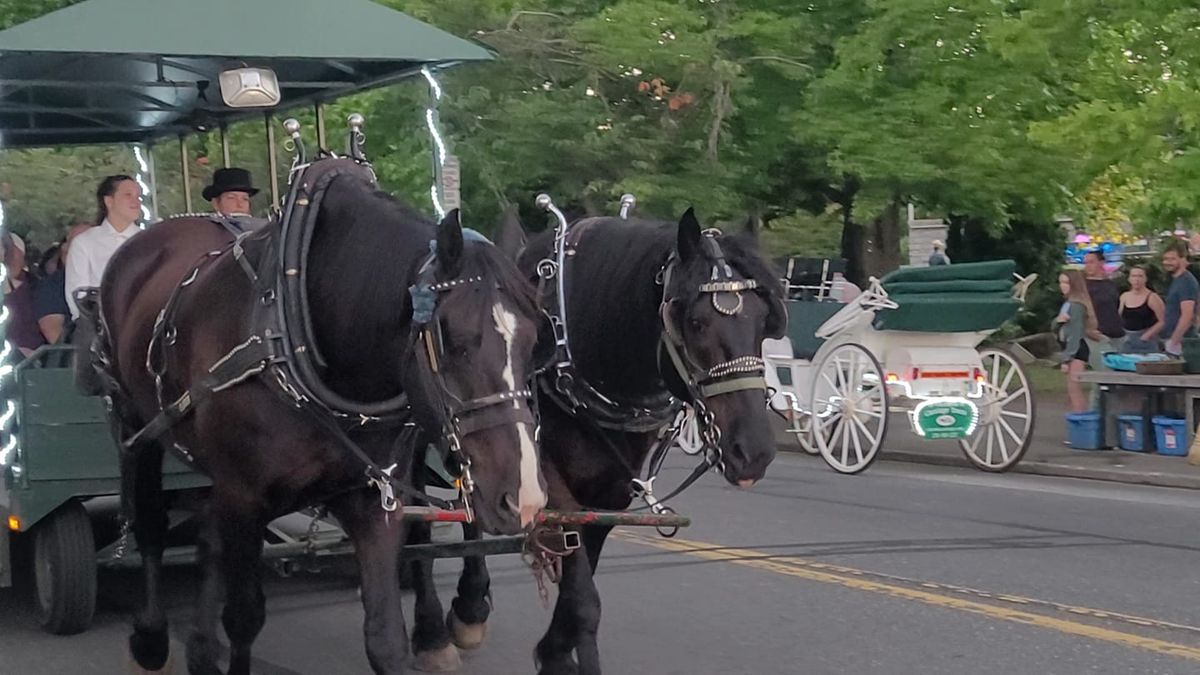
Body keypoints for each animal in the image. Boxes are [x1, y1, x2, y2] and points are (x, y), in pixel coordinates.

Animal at [92, 163, 549, 672]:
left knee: (208, 537)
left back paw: (202, 650)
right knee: (151, 523)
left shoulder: (374, 497)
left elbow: (385, 636)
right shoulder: (243, 495)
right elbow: (244, 617)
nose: (523, 498)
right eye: (453, 340)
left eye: (535, 341)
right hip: (136, 425)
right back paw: (151, 638)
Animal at [405, 208, 787, 672]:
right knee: (417, 530)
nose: (754, 451)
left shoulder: (610, 494)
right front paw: (558, 652)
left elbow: (581, 578)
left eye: (765, 323)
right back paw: (433, 633)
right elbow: (584, 595)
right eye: (695, 322)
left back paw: (471, 607)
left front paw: (554, 651)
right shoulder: (546, 483)